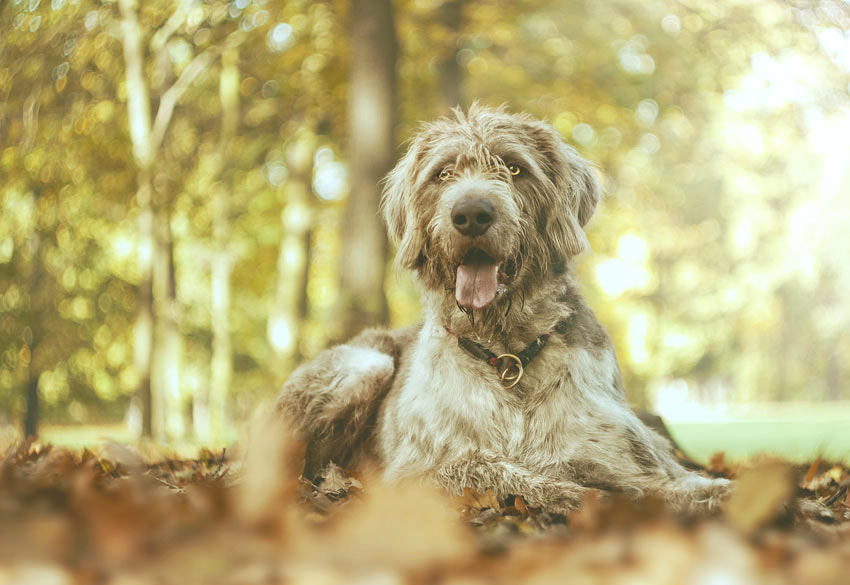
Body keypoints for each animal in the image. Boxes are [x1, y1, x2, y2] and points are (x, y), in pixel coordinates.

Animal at [278, 104, 728, 512]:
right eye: (443, 174)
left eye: (514, 168)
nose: (471, 213)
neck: (508, 355)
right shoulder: (415, 472)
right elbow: (489, 468)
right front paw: (579, 494)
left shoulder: (625, 449)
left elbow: (681, 482)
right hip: (364, 367)